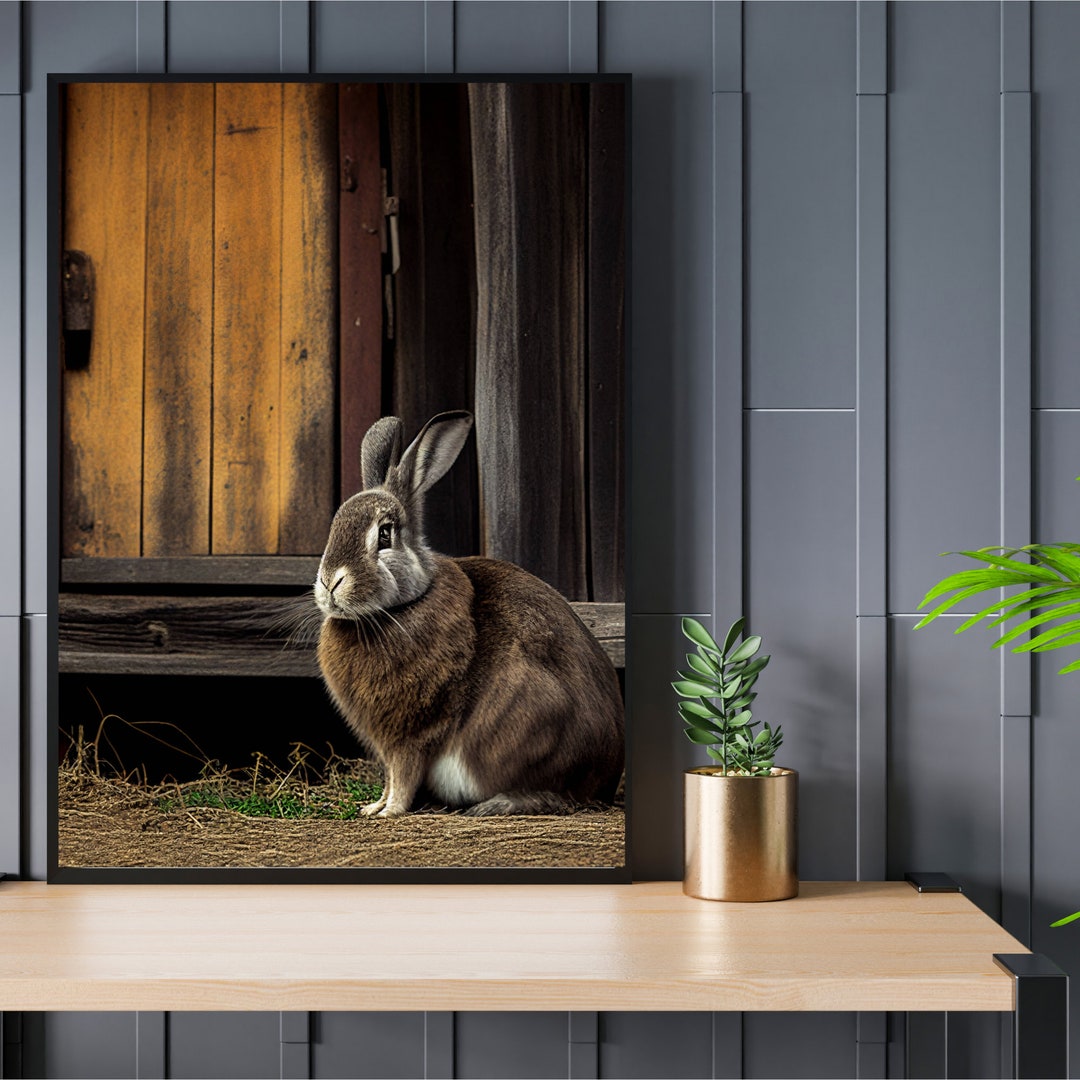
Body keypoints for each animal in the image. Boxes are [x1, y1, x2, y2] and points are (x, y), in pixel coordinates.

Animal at [314, 410, 625, 818]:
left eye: (384, 535)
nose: (329, 582)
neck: (399, 607)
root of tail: (609, 776)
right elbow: (390, 779)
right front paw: (372, 807)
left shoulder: (410, 734)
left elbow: (403, 776)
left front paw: (389, 812)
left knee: (558, 796)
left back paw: (496, 804)